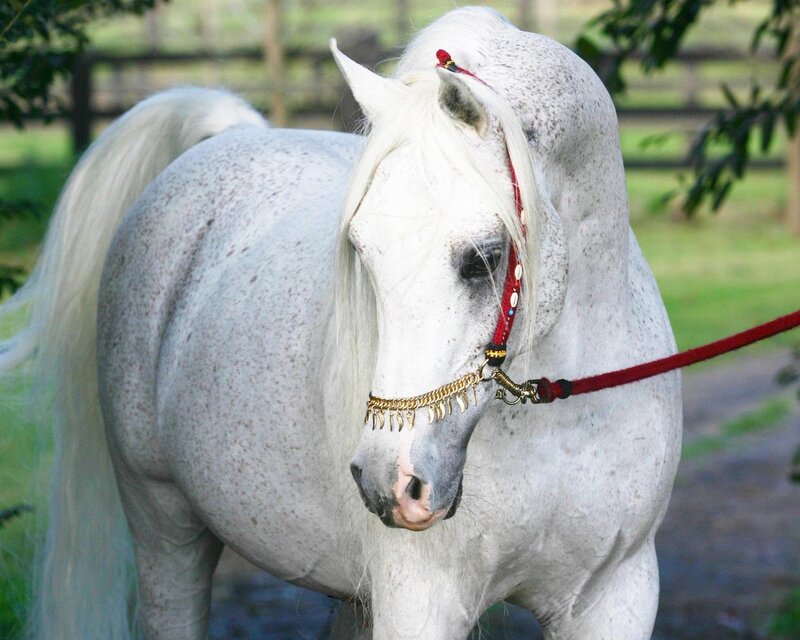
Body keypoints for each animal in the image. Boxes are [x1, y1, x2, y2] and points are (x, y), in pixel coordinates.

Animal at [0, 7, 682, 639]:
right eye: (362, 250)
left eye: (483, 257)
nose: (389, 481)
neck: (560, 422)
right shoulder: (420, 603)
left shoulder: (615, 595)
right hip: (164, 525)